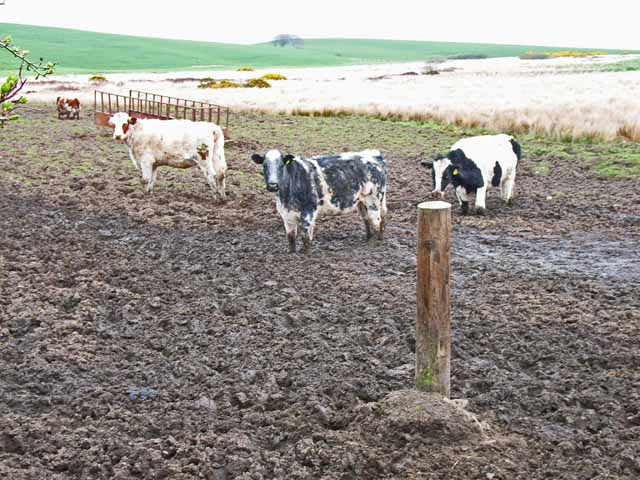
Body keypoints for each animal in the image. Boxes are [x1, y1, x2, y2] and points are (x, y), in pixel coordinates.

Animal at [252, 149, 388, 255]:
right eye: (264, 166)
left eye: (281, 166)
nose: (273, 185)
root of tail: (374, 154)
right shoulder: (286, 216)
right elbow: (291, 237)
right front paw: (291, 253)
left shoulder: (308, 211)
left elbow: (305, 236)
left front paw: (306, 254)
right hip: (361, 201)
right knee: (369, 219)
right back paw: (372, 239)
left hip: (373, 200)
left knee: (376, 221)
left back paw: (372, 245)